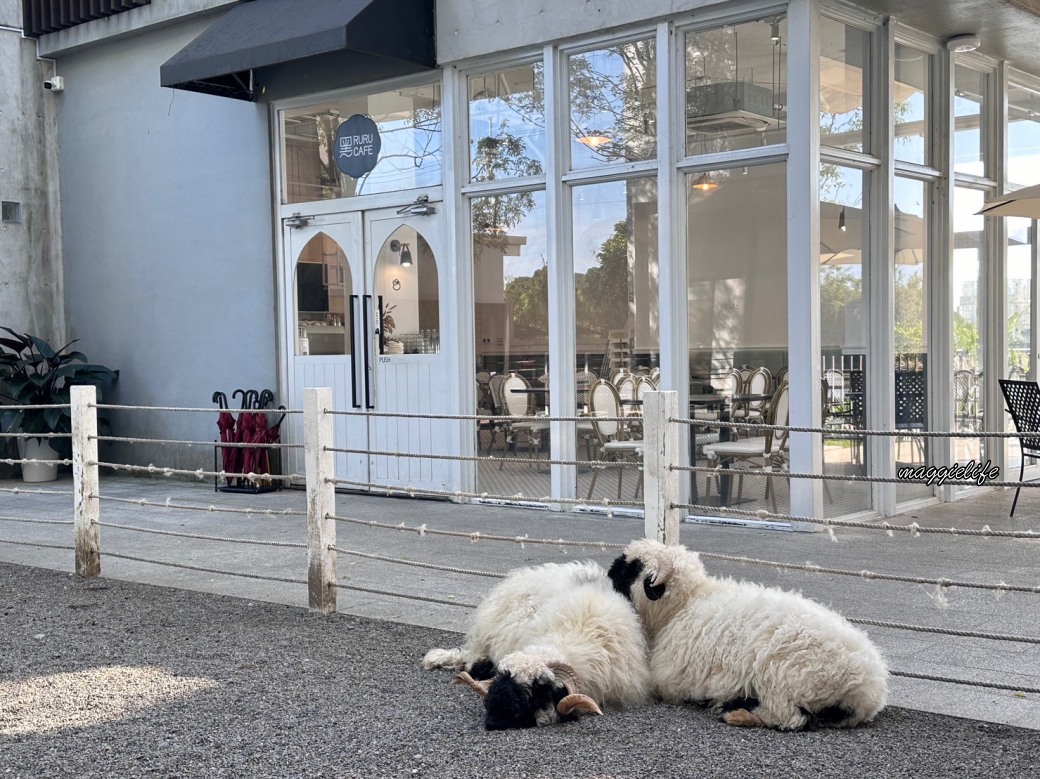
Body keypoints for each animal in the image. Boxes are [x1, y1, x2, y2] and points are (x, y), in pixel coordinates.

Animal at [422, 557, 648, 728]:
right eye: (503, 676)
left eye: (539, 689)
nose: (493, 719)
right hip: (486, 630)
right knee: (468, 654)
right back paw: (439, 658)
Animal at [607, 540, 890, 728]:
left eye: (633, 567)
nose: (608, 572)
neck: (685, 604)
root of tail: (867, 688)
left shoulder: (669, 681)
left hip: (783, 678)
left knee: (792, 718)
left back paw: (732, 711)